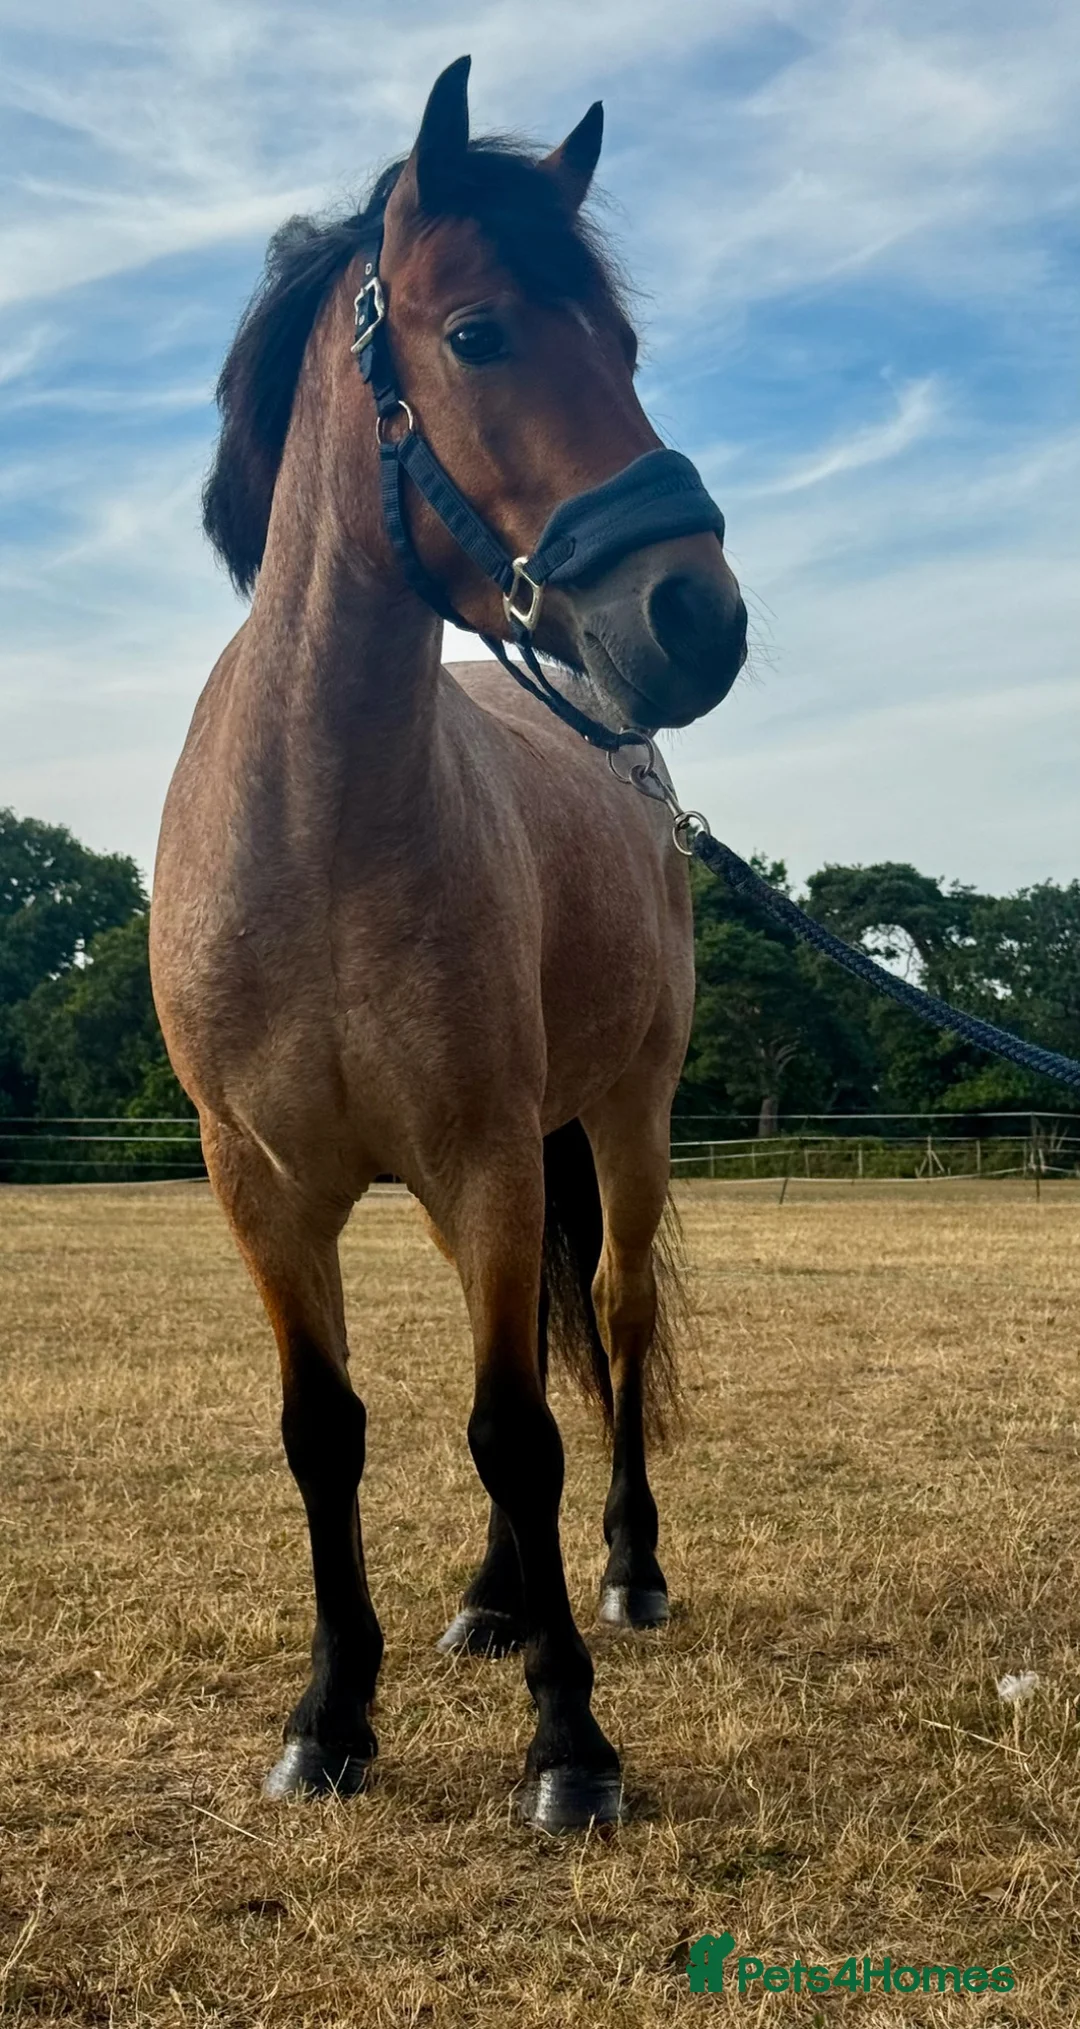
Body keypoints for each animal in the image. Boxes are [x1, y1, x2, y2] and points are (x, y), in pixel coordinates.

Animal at [150, 55, 747, 1833]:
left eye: (624, 348)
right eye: (479, 332)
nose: (698, 615)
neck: (322, 829)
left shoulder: (491, 1159)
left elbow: (517, 1431)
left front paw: (573, 1737)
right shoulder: (268, 1188)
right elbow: (327, 1432)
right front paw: (333, 1714)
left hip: (620, 1122)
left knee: (606, 1327)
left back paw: (618, 1575)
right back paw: (494, 1600)